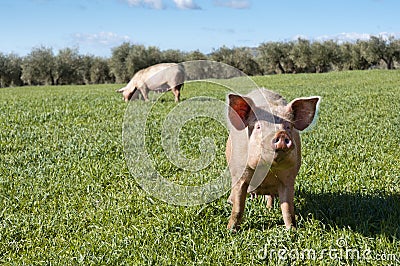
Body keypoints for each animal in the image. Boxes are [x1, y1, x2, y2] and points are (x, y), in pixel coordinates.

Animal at [225, 88, 322, 231]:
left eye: (288, 126)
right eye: (258, 127)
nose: (281, 134)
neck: (268, 171)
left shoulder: (289, 179)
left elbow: (288, 209)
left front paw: (292, 230)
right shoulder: (240, 174)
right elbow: (238, 207)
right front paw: (230, 230)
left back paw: (269, 208)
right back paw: (231, 201)